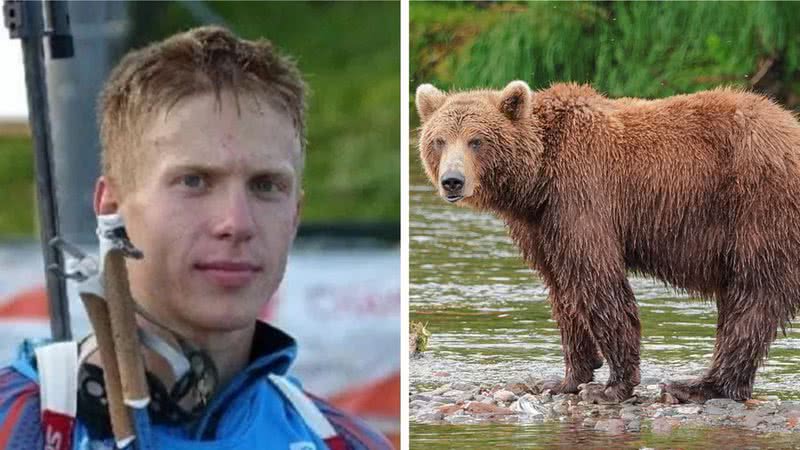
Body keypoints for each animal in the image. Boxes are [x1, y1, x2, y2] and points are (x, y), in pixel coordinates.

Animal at [416, 80, 800, 404]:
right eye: (439, 140)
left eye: (476, 140)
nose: (452, 181)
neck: (536, 179)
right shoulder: (540, 225)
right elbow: (563, 291)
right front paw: (565, 379)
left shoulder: (582, 194)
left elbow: (597, 281)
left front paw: (611, 385)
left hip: (758, 202)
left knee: (753, 294)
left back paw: (697, 386)